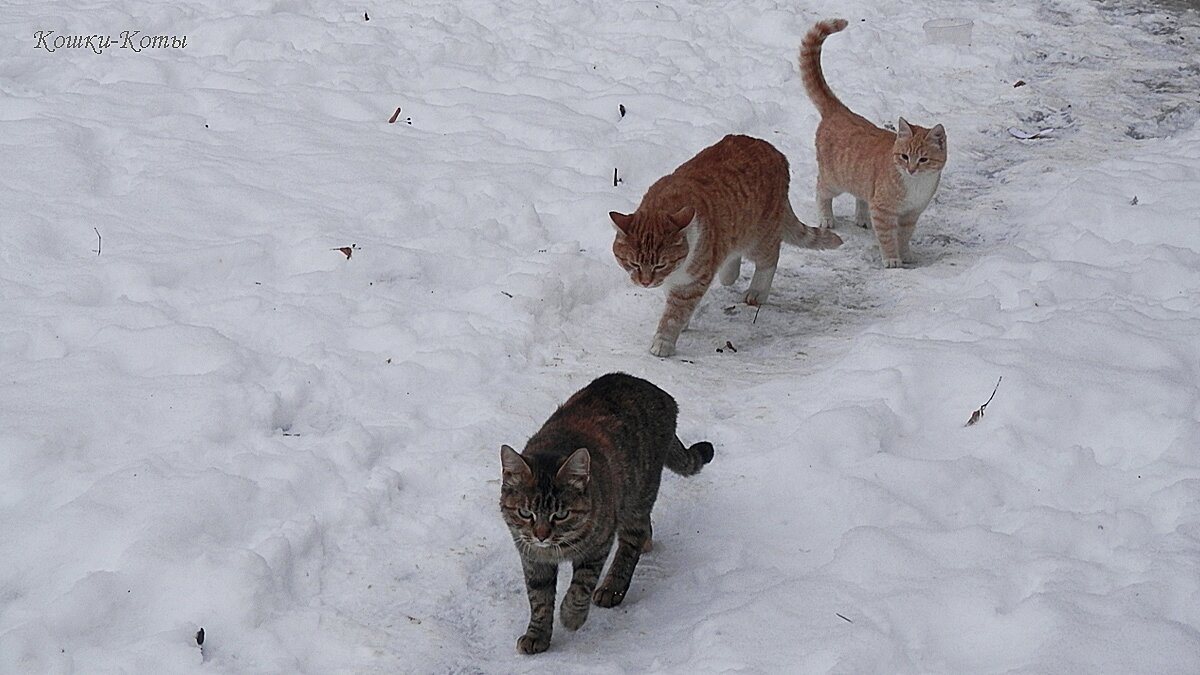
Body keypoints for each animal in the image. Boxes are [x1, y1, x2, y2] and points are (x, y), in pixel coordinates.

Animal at [496, 372, 710, 653]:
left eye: (561, 515)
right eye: (525, 513)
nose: (541, 535)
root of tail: (657, 390)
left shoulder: (598, 545)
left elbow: (581, 585)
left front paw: (571, 616)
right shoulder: (532, 557)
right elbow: (539, 598)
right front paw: (537, 635)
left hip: (637, 496)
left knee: (631, 541)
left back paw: (613, 587)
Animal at [796, 17, 945, 267]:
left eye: (923, 159)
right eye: (904, 156)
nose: (911, 168)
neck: (915, 185)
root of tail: (840, 110)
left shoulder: (911, 214)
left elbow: (904, 236)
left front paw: (905, 254)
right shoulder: (884, 212)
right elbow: (887, 238)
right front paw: (893, 259)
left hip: (860, 180)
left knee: (861, 196)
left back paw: (862, 217)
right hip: (834, 180)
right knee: (820, 191)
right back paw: (826, 218)